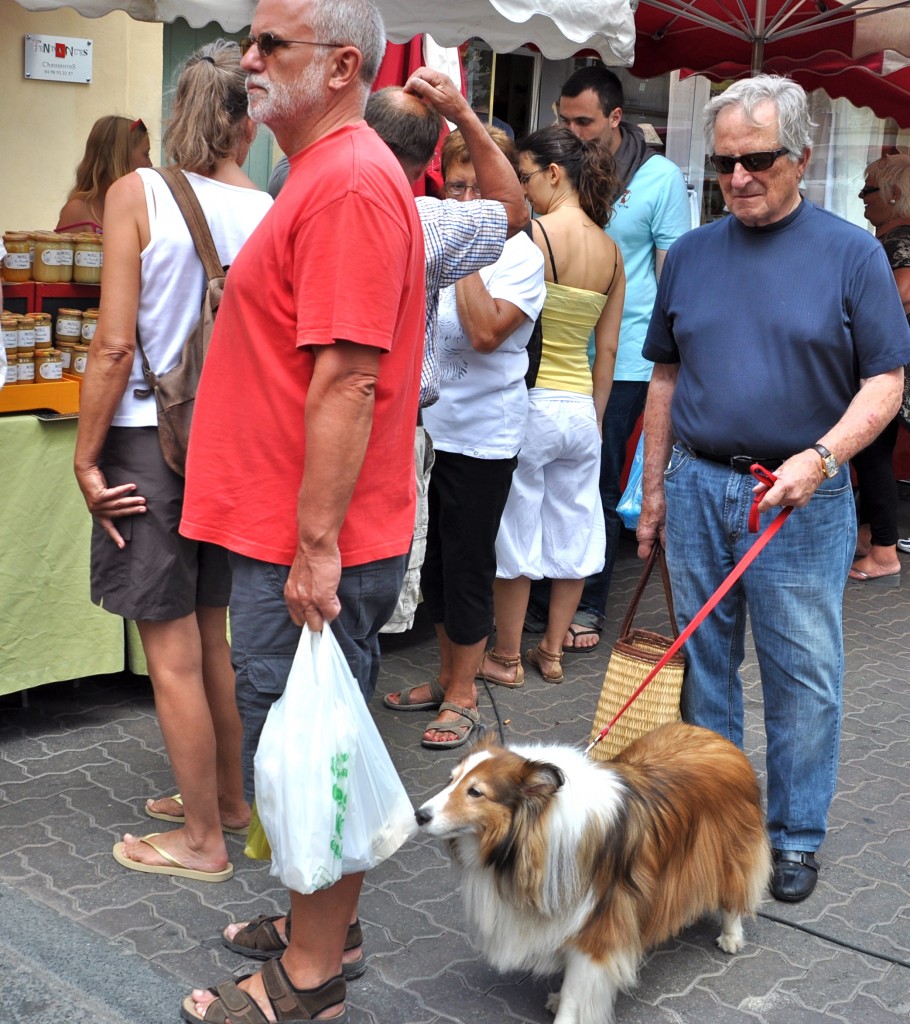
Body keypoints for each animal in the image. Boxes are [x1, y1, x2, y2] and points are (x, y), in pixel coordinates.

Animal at [415, 724, 769, 1019]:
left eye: (476, 792)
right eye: (451, 779)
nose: (419, 815)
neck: (536, 833)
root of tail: (719, 738)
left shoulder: (597, 928)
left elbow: (576, 994)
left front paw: (565, 1008)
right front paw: (557, 996)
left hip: (729, 853)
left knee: (734, 893)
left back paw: (731, 936)